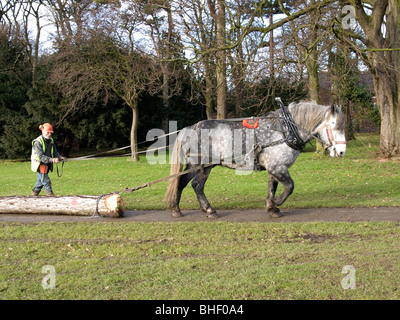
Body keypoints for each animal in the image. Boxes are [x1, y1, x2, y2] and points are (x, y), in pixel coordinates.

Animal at [164, 101, 346, 219]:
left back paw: (178, 209)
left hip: (198, 165)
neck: (285, 131)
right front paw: (276, 203)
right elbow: (289, 187)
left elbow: (272, 187)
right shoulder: (277, 167)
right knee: (195, 185)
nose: (342, 151)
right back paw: (207, 210)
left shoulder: (275, 168)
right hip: (201, 165)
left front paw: (272, 207)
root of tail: (191, 128)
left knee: (184, 183)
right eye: (334, 125)